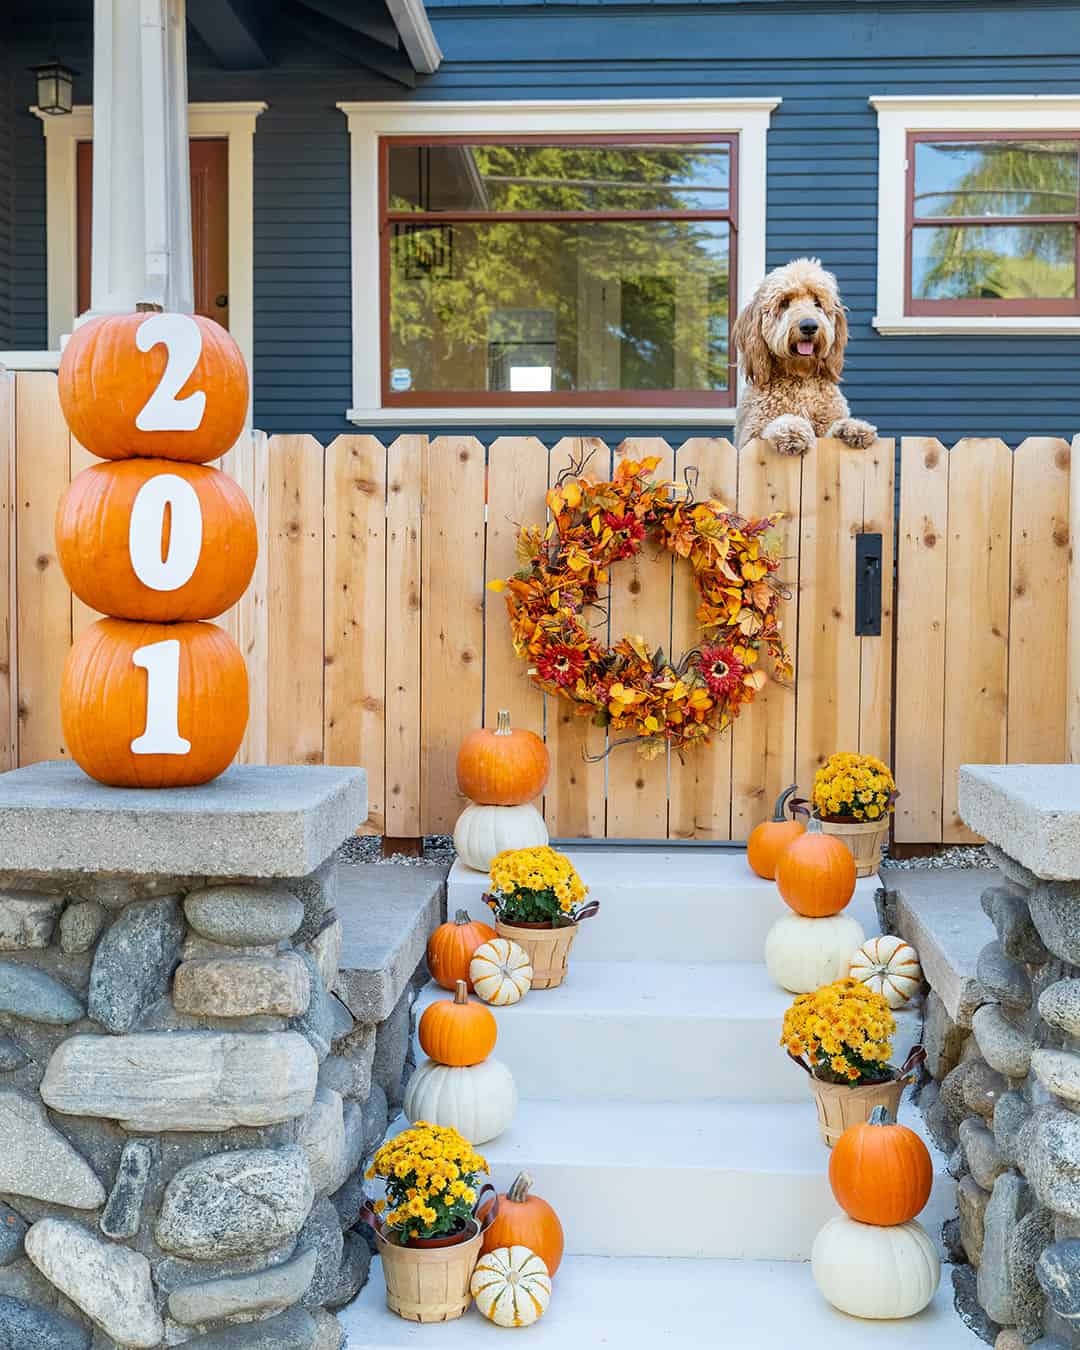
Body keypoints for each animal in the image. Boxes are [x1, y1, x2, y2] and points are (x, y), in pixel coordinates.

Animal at [734, 255, 874, 456]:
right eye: (784, 303)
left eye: (817, 302)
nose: (809, 326)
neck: (800, 377)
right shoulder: (750, 438)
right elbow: (777, 424)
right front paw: (792, 429)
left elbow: (833, 430)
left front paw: (852, 427)